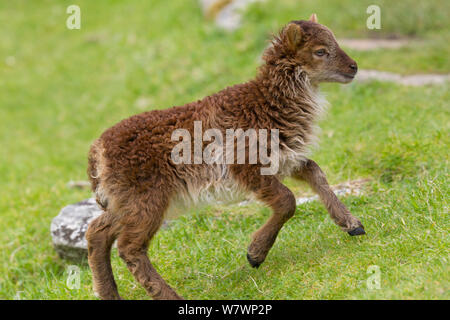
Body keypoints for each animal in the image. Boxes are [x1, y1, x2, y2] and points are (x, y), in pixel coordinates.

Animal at [85, 14, 366, 300]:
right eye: (320, 51)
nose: (354, 67)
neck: (267, 103)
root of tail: (98, 151)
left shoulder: (285, 158)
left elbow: (316, 173)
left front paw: (352, 224)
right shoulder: (245, 165)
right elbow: (288, 201)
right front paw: (255, 254)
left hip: (125, 200)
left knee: (97, 232)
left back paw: (109, 294)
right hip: (147, 199)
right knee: (129, 247)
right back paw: (169, 295)